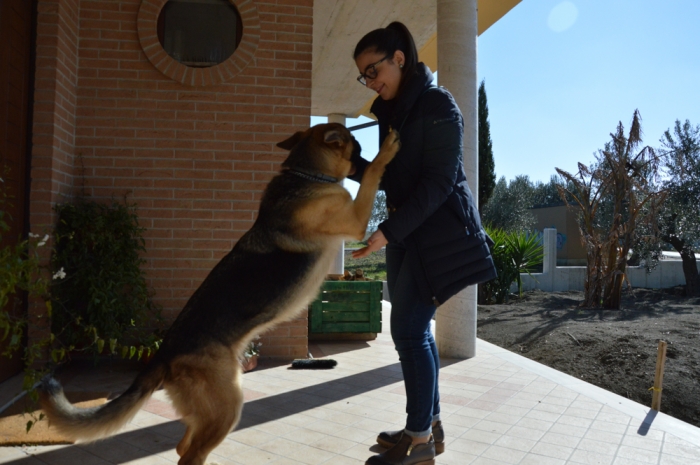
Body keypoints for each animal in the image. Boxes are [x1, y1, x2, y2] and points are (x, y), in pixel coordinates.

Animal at [39, 121, 400, 462]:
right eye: (357, 149)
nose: (370, 154)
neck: (305, 174)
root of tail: (163, 354)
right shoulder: (355, 218)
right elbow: (369, 180)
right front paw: (385, 153)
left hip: (207, 411)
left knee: (184, 446)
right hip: (228, 405)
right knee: (190, 454)